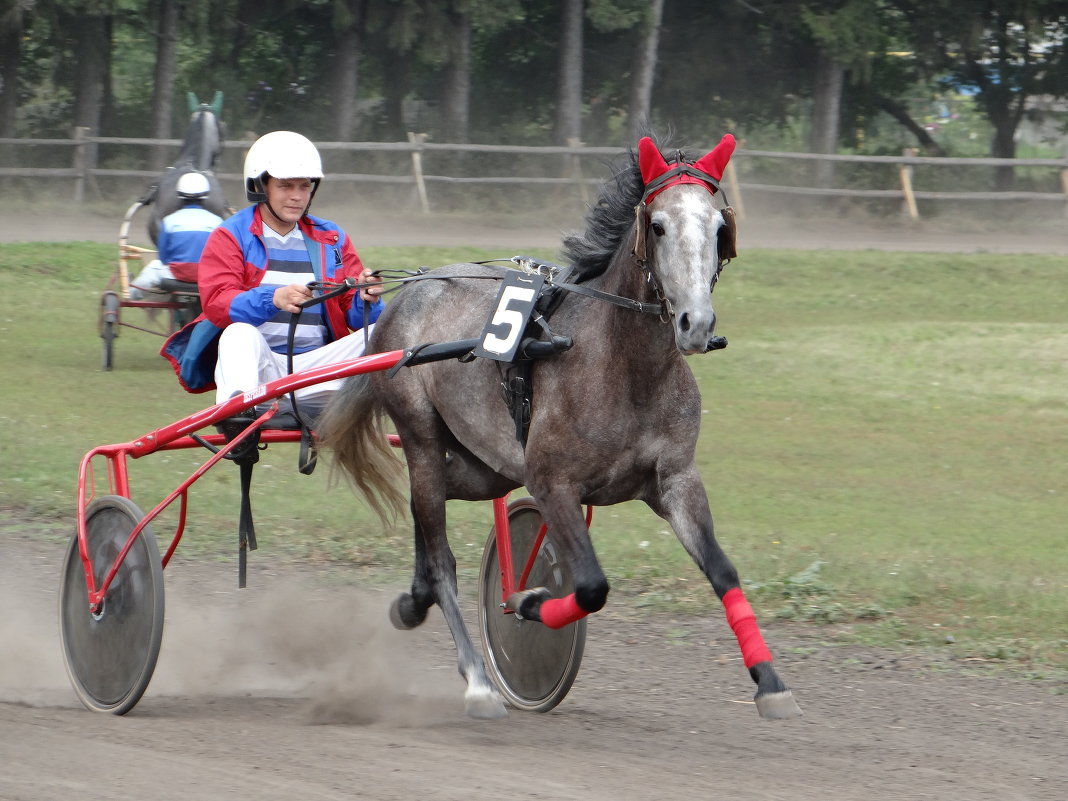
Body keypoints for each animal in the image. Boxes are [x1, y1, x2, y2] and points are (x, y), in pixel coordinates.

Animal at [316, 131, 803, 721]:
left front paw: (770, 681)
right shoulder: (552, 484)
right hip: (421, 435)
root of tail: (407, 293)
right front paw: (527, 602)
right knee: (440, 554)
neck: (623, 366)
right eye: (658, 225)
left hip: (489, 465)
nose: (696, 323)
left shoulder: (676, 481)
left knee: (428, 512)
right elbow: (591, 586)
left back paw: (415, 599)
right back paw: (477, 678)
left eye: (717, 228)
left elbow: (723, 571)